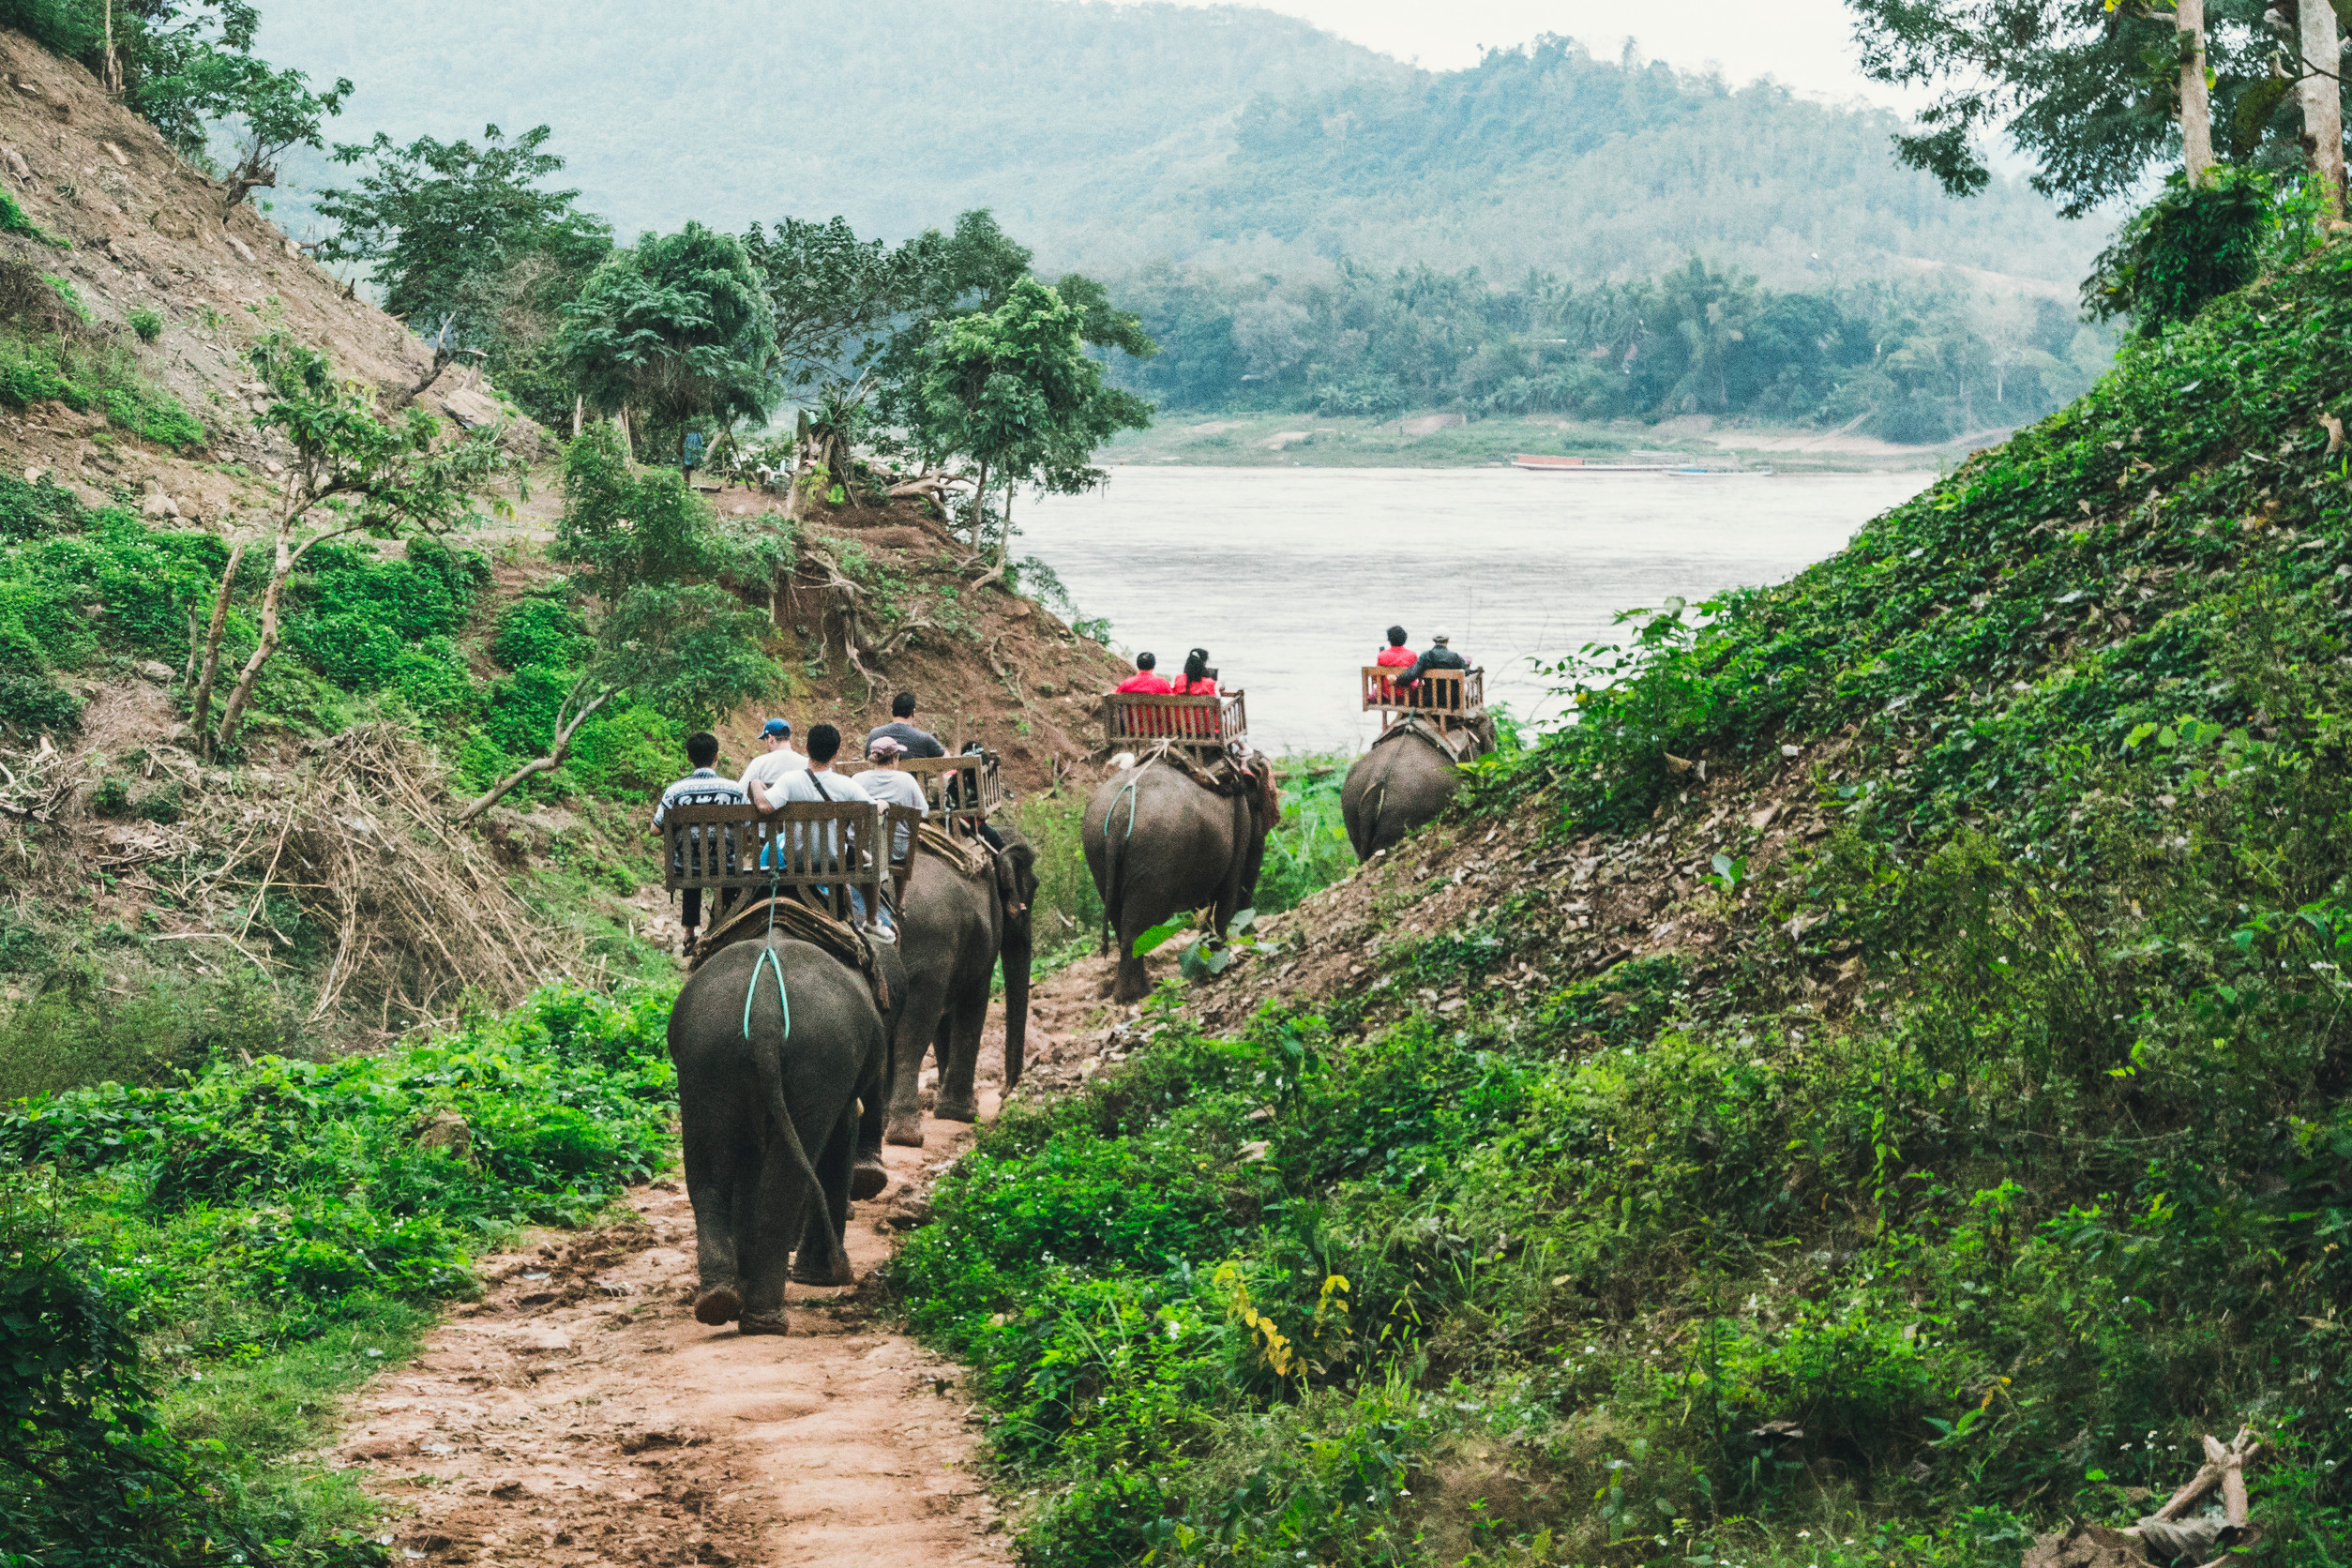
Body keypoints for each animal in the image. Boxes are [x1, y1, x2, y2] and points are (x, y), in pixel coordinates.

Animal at [682, 930, 908, 1334]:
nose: (844, 1270)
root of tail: (766, 1014)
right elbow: (840, 1134)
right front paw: (823, 1277)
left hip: (706, 1056)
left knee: (707, 1172)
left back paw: (719, 1302)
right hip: (818, 1061)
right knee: (786, 1179)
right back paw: (767, 1321)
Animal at [879, 827, 1034, 1147]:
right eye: (1033, 889)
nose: (1005, 1093)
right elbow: (973, 1001)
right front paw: (962, 1113)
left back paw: (885, 1128)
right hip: (930, 941)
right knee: (914, 1029)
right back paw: (906, 1136)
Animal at [1086, 752, 1279, 1001]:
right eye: (1260, 807)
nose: (1252, 932)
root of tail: (1120, 812)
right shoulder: (1240, 824)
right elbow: (1227, 893)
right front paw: (1220, 957)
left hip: (1096, 848)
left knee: (1119, 918)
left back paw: (1137, 991)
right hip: (1156, 852)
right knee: (1137, 923)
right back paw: (1138, 994)